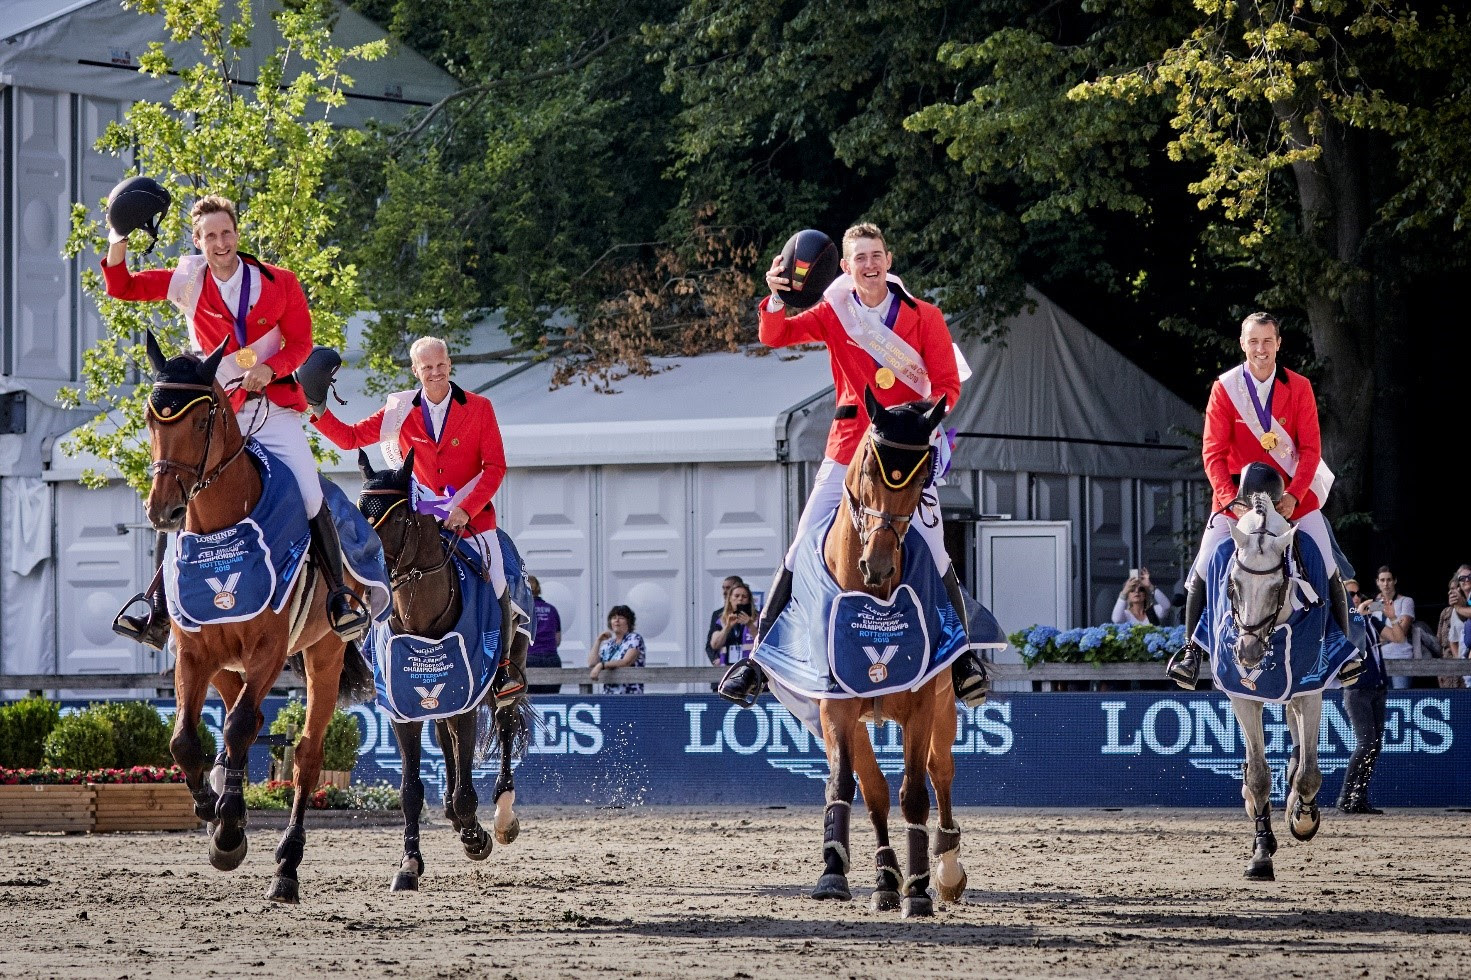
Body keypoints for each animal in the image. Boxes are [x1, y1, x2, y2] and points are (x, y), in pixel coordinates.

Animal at [141, 332, 373, 906]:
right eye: (152, 420)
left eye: (200, 424)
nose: (163, 511)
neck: (219, 530)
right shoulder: (195, 653)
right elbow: (186, 740)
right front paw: (213, 812)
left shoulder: (269, 651)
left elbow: (242, 726)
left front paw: (228, 831)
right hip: (227, 666)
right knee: (239, 726)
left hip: (324, 654)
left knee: (306, 754)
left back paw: (286, 865)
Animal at [357, 447, 535, 888]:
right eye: (358, 512)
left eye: (398, 518)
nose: (366, 581)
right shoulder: (402, 709)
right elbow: (410, 790)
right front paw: (409, 864)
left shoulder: (469, 698)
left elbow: (467, 791)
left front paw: (476, 837)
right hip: (439, 699)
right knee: (445, 738)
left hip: (507, 673)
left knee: (504, 726)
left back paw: (502, 816)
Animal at [806, 388, 964, 918]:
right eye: (869, 469)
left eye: (920, 479)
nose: (876, 565)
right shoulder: (835, 706)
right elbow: (845, 784)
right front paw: (834, 872)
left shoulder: (920, 705)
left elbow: (914, 792)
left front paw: (920, 890)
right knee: (874, 791)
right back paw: (885, 879)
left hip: (944, 709)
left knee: (941, 772)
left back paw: (945, 867)